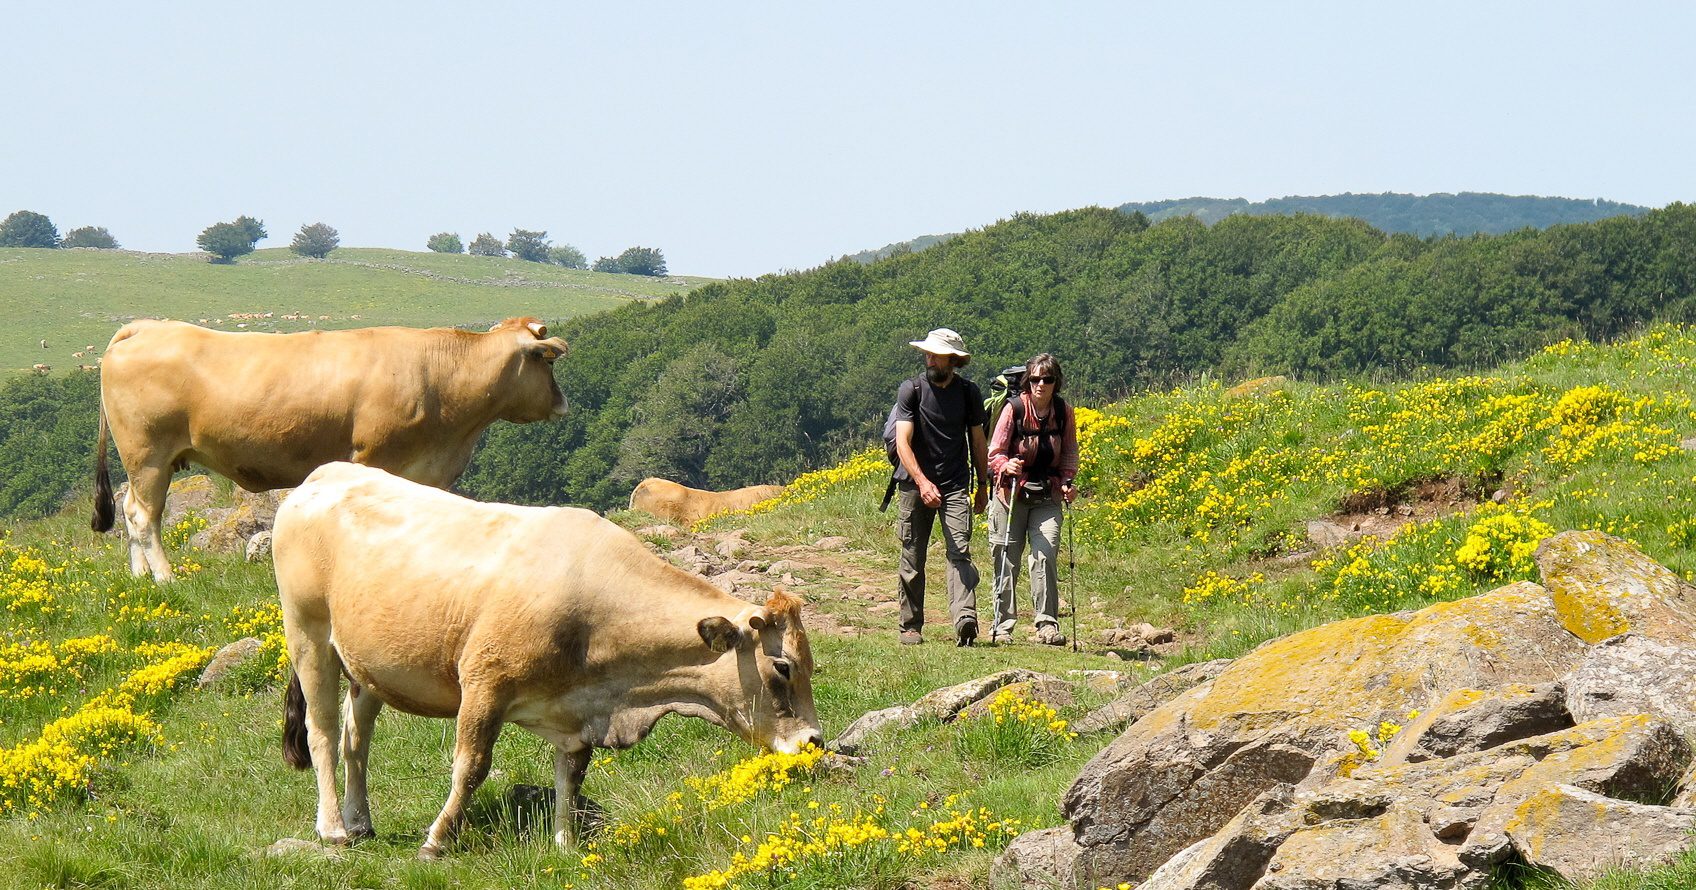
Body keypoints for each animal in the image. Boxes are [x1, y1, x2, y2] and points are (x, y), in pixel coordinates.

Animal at [91, 315, 569, 579]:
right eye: (546, 361)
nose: (562, 403)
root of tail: (147, 328)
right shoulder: (376, 458)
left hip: (147, 463)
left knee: (131, 512)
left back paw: (139, 576)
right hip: (148, 457)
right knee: (143, 516)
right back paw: (165, 578)